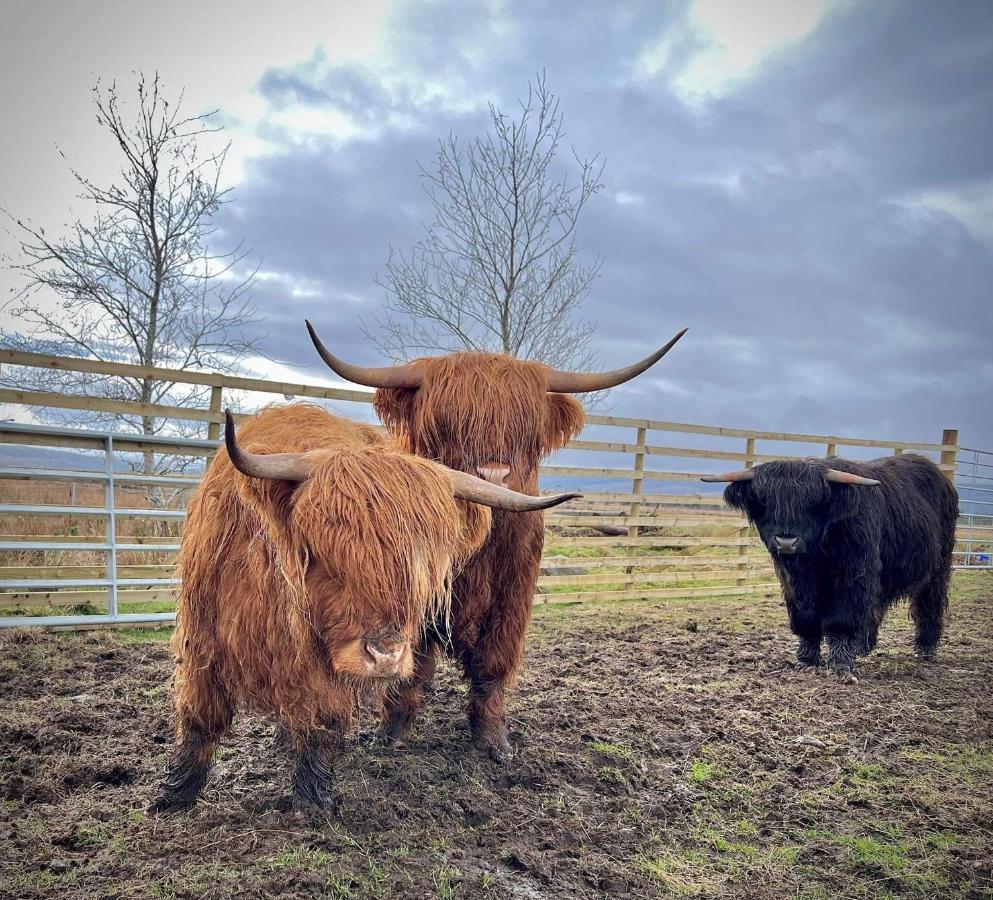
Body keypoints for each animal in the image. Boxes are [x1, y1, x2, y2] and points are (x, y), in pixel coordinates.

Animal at [151, 400, 576, 808]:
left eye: (419, 569)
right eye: (324, 555)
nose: (385, 655)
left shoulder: (322, 666)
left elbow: (322, 720)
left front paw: (311, 800)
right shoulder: (202, 639)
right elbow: (200, 717)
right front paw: (175, 794)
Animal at [306, 324, 684, 760]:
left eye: (525, 424)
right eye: (448, 422)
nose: (492, 474)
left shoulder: (513, 596)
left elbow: (493, 664)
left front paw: (492, 740)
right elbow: (408, 664)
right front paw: (392, 733)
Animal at [700, 454, 956, 680]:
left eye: (812, 503)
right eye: (765, 501)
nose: (786, 542)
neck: (817, 550)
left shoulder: (853, 573)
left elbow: (841, 619)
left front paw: (840, 664)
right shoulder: (797, 580)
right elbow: (806, 618)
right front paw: (805, 660)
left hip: (938, 566)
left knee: (929, 602)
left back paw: (925, 648)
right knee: (878, 604)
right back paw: (862, 647)